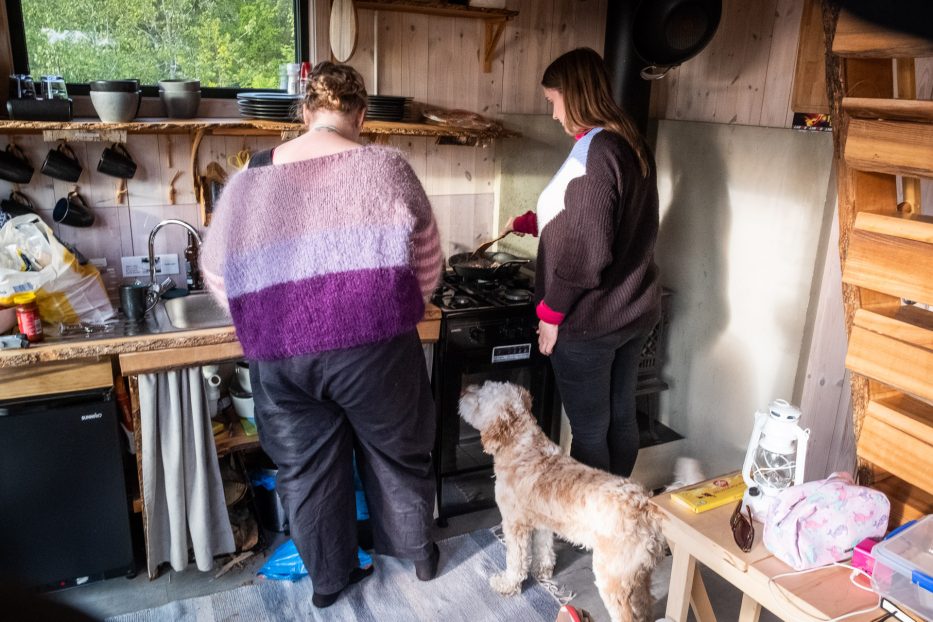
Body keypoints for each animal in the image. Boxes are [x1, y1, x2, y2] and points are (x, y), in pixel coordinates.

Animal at [458, 380, 664, 622]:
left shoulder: (514, 524)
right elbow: (544, 547)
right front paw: (542, 571)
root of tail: (646, 507)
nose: (463, 390)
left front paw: (507, 585)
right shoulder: (543, 521)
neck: (522, 446)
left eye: (480, 397)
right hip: (640, 577)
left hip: (614, 579)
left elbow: (516, 560)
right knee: (646, 605)